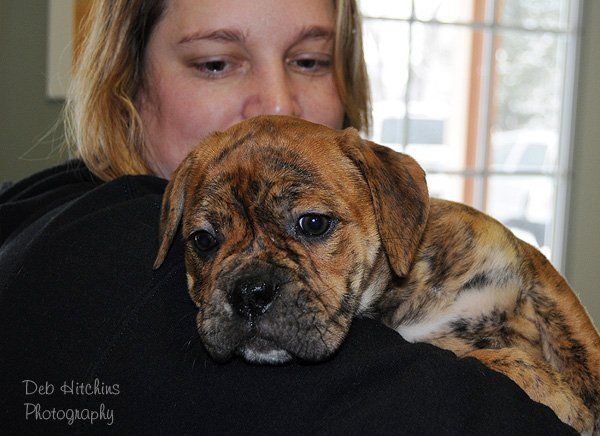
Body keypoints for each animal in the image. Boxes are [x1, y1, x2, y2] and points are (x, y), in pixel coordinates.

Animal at [153, 115, 600, 433]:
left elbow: (582, 347)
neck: (403, 295)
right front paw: (552, 390)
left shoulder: (535, 272)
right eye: (203, 240)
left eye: (313, 223)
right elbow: (490, 358)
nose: (250, 292)